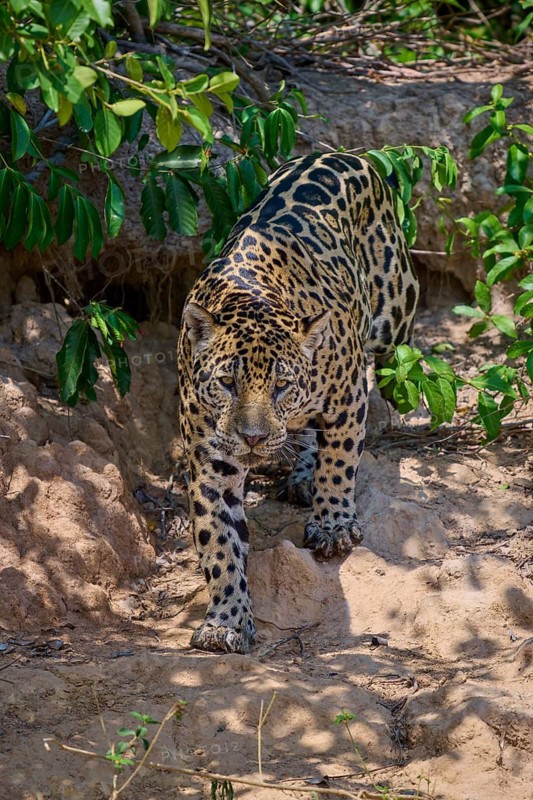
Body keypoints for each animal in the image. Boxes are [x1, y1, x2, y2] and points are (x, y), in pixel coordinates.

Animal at [177, 151, 419, 654]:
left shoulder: (347, 395)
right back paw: (301, 474)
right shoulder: (210, 458)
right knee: (307, 433)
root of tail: (343, 153)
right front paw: (226, 621)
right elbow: (219, 542)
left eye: (281, 386)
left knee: (398, 356)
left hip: (394, 314)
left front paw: (333, 526)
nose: (253, 438)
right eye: (226, 383)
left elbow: (340, 462)